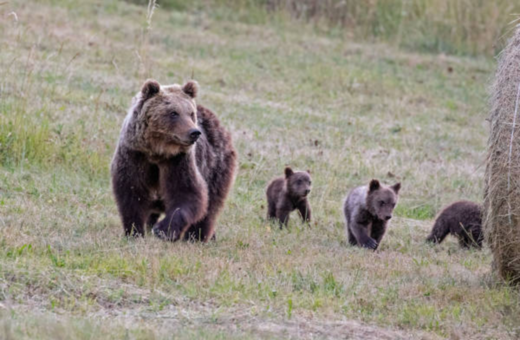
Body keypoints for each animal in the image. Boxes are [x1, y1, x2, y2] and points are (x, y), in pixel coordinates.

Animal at [112, 79, 239, 242]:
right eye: (173, 113)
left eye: (190, 113)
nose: (194, 132)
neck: (157, 152)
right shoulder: (135, 156)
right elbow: (132, 192)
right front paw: (135, 231)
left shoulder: (178, 161)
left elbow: (188, 194)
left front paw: (163, 230)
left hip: (216, 166)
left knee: (211, 205)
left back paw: (196, 236)